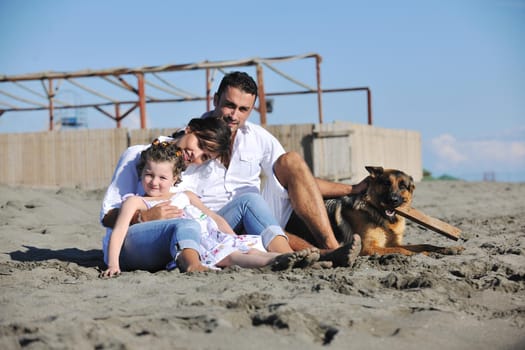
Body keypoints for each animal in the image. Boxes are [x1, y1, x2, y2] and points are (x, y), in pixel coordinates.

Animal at [286, 165, 462, 256]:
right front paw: (424, 254)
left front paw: (449, 249)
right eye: (386, 183)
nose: (393, 200)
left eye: (403, 186)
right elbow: (403, 250)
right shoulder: (369, 248)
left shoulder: (393, 242)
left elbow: (425, 244)